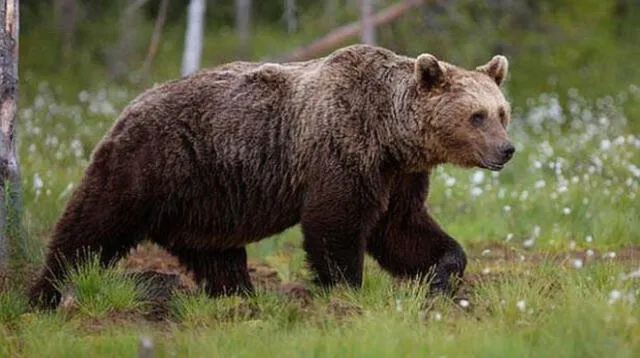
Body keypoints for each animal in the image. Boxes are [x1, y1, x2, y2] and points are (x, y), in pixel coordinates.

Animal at [28, 44, 516, 308]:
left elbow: (404, 229)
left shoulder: (398, 176)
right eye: (476, 116)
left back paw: (240, 296)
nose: (507, 150)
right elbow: (334, 224)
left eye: (501, 112)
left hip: (205, 200)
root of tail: (128, 104)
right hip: (149, 164)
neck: (391, 135)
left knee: (217, 255)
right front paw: (344, 290)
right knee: (93, 224)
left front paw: (440, 277)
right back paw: (45, 292)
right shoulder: (341, 151)